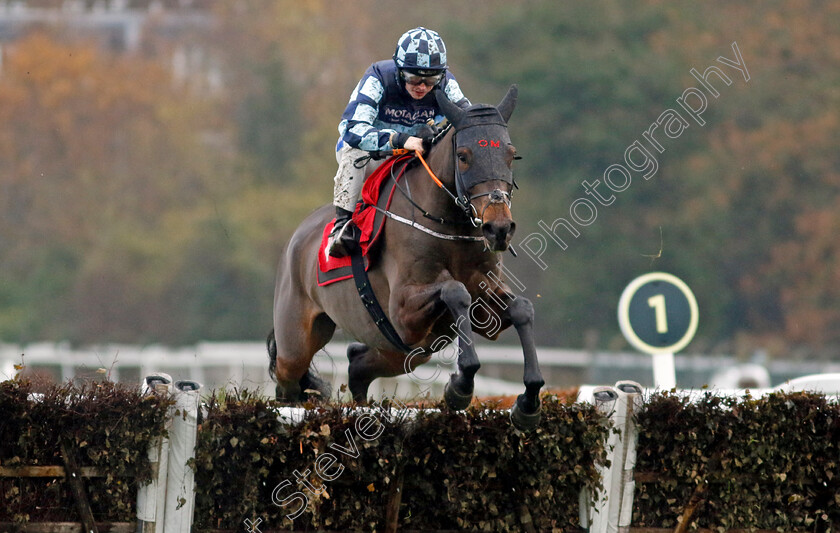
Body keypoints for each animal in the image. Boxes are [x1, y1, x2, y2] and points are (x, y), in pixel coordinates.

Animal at [270, 86, 544, 428]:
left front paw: (529, 401)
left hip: (402, 351)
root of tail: (295, 240)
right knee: (288, 381)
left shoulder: (483, 307)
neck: (449, 226)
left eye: (511, 154)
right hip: (296, 343)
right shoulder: (403, 312)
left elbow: (522, 309)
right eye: (463, 156)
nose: (499, 228)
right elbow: (455, 291)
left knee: (357, 364)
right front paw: (460, 386)